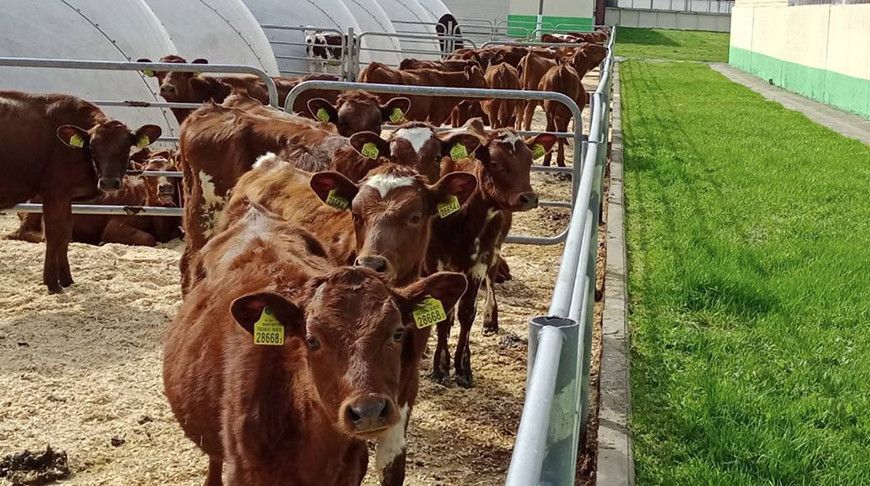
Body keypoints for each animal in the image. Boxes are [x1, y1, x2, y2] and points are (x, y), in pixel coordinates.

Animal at [0, 91, 161, 293]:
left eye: (126, 147)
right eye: (92, 148)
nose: (109, 182)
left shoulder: (67, 197)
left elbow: (66, 234)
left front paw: (67, 280)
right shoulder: (54, 192)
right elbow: (53, 234)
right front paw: (52, 283)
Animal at [428, 128, 557, 387]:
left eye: (530, 160)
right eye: (495, 163)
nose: (528, 198)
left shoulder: (479, 261)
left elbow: (467, 312)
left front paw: (463, 367)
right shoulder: (439, 261)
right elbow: (444, 315)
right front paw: (441, 366)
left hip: (495, 249)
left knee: (492, 276)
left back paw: (490, 319)